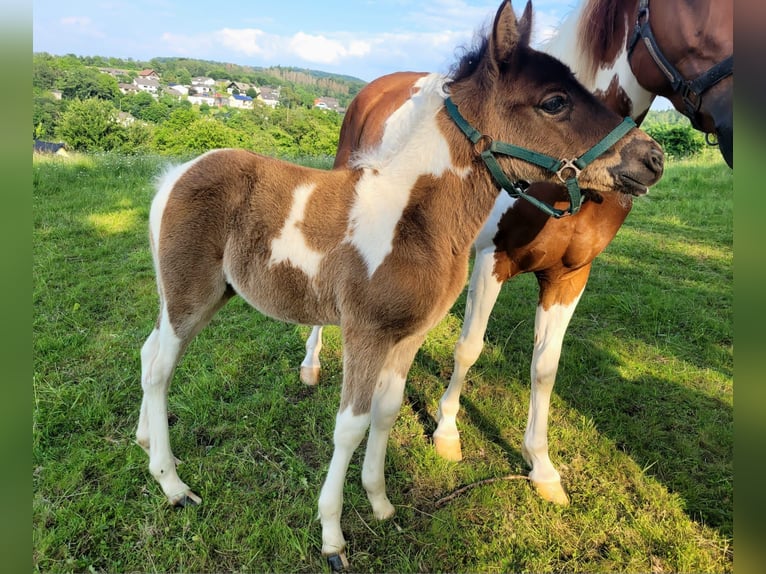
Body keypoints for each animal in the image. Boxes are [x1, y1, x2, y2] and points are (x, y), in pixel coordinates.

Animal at [138, 0, 664, 568]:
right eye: (555, 101)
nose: (652, 159)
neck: (414, 218)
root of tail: (175, 175)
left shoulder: (409, 333)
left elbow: (386, 413)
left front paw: (380, 502)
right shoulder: (365, 331)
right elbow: (350, 424)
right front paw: (332, 536)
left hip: (200, 296)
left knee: (148, 352)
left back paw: (145, 445)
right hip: (189, 295)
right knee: (161, 370)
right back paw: (172, 484)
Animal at [302, 0, 732, 508]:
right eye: (703, 11)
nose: (654, 161)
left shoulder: (571, 275)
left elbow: (545, 367)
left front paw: (541, 466)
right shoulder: (493, 258)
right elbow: (469, 348)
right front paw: (447, 433)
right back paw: (311, 364)